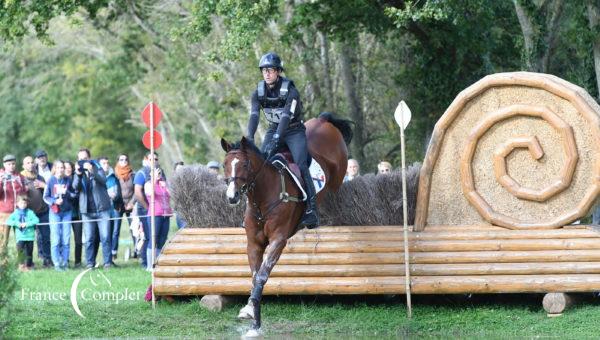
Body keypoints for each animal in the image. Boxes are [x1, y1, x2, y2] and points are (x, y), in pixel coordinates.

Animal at [220, 113, 352, 336]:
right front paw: (252, 318)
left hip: (337, 174)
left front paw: (252, 314)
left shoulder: (278, 240)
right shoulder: (253, 244)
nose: (232, 197)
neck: (262, 199)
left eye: (245, 165)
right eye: (224, 165)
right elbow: (255, 276)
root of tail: (324, 120)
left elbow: (262, 276)